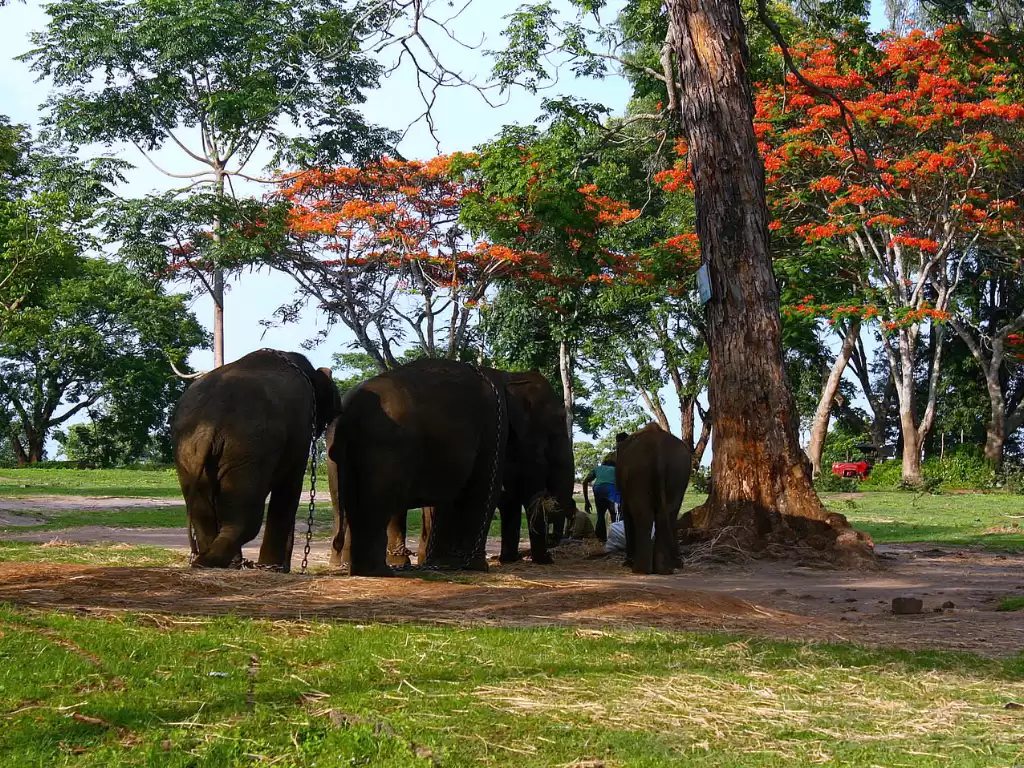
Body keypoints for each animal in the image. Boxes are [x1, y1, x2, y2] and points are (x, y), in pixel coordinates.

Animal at [172, 349, 341, 571]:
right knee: (246, 518)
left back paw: (213, 563)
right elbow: (290, 485)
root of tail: (208, 424)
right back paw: (216, 562)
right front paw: (275, 568)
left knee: (204, 513)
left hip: (188, 451)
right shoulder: (301, 428)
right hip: (248, 450)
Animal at [327, 358, 509, 577]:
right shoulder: (494, 427)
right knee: (377, 503)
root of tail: (348, 409)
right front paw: (477, 567)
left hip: (338, 454)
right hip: (384, 447)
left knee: (347, 504)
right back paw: (379, 571)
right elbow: (485, 490)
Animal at [615, 422, 693, 575]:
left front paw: (627, 563)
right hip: (678, 470)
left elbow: (627, 511)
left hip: (638, 472)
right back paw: (665, 569)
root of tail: (658, 451)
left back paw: (640, 569)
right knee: (669, 513)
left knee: (643, 514)